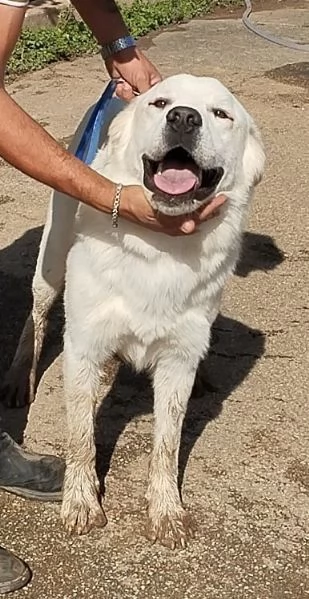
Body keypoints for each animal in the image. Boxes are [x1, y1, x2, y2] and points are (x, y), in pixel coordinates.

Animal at [3, 75, 264, 548]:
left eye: (221, 113)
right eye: (159, 103)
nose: (183, 117)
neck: (160, 249)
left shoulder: (179, 359)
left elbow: (167, 444)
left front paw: (166, 512)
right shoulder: (83, 347)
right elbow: (81, 437)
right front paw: (81, 503)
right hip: (51, 256)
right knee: (37, 313)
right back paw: (18, 377)